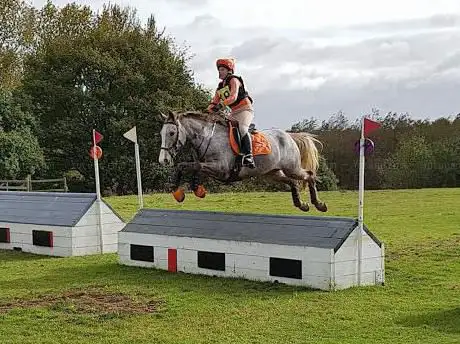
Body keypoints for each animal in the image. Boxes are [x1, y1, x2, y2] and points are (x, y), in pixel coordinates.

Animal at [158, 110, 328, 212]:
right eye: (161, 133)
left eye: (172, 133)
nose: (163, 160)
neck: (208, 138)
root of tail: (289, 135)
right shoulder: (208, 166)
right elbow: (192, 167)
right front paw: (191, 190)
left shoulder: (221, 169)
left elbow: (188, 166)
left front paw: (180, 192)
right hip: (272, 173)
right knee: (293, 182)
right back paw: (302, 205)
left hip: (292, 168)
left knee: (309, 175)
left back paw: (319, 204)